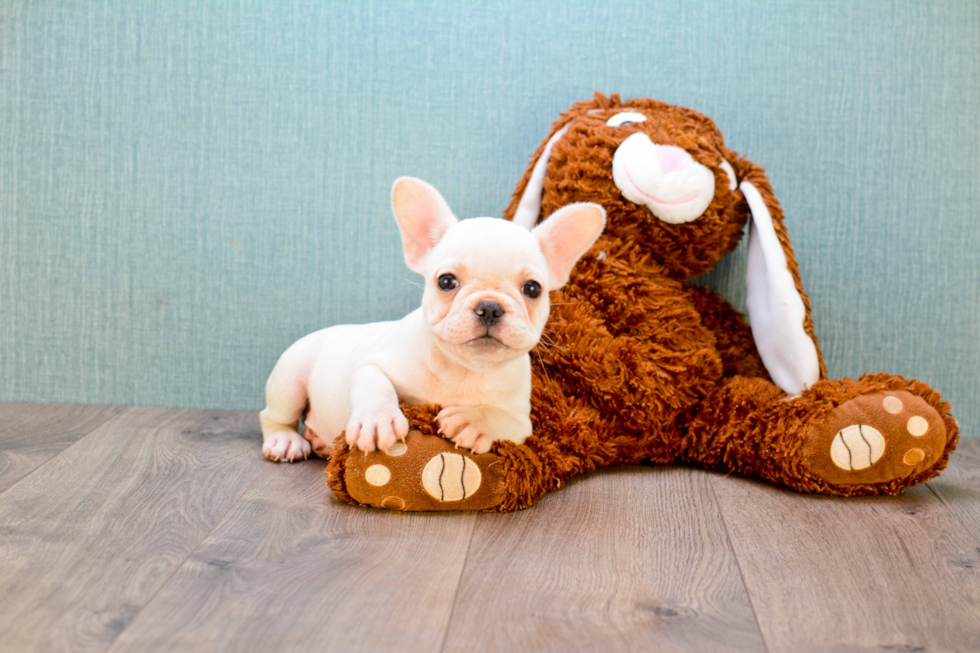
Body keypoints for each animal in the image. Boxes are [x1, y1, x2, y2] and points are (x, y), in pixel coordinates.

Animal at [262, 176, 604, 460]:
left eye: (533, 288)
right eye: (446, 281)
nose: (490, 306)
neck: (465, 370)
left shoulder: (522, 423)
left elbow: (503, 419)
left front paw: (474, 421)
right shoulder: (374, 363)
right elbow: (374, 382)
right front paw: (378, 420)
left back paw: (318, 440)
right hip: (289, 380)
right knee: (273, 416)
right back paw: (286, 441)